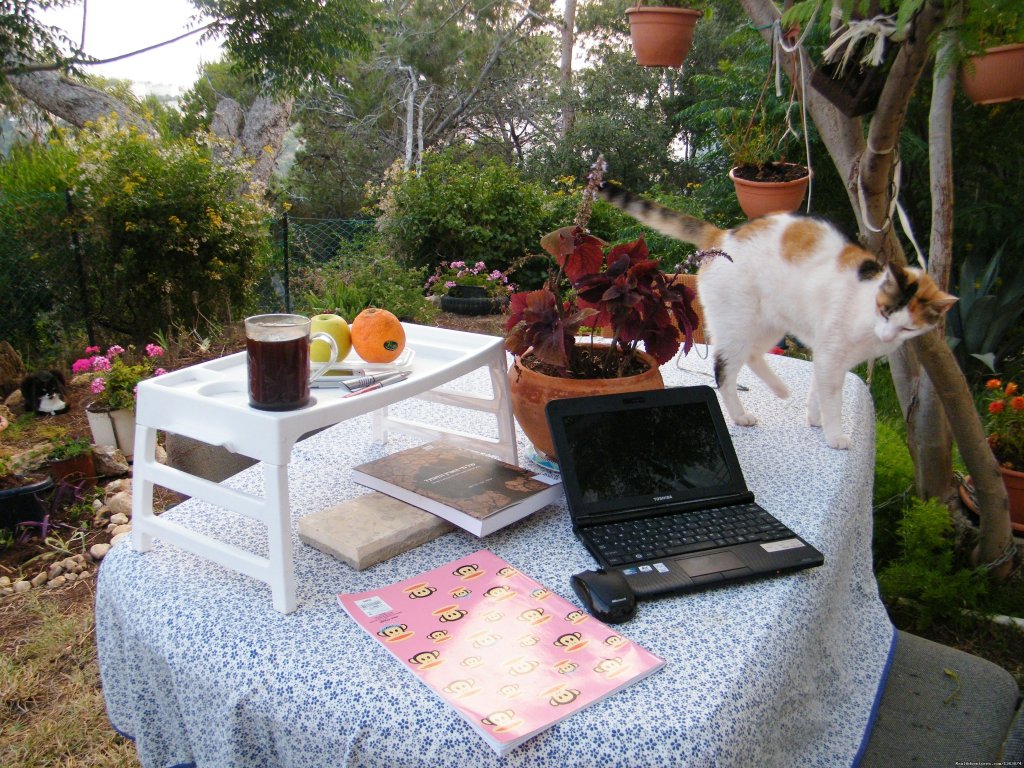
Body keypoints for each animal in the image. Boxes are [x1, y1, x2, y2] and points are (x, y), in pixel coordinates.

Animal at [598, 185, 954, 450]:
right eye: (884, 310)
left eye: (907, 327)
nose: (888, 336)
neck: (865, 308)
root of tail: (723, 236)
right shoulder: (831, 355)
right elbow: (832, 398)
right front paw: (835, 434)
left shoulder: (828, 357)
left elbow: (819, 389)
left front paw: (815, 418)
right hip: (738, 324)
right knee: (724, 372)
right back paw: (742, 415)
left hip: (772, 323)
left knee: (755, 355)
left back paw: (781, 390)